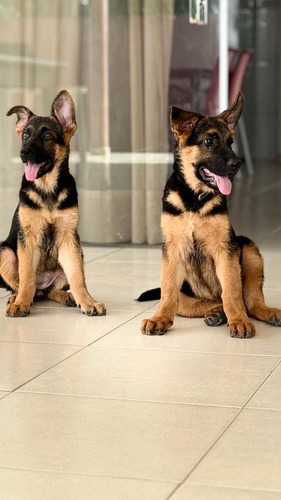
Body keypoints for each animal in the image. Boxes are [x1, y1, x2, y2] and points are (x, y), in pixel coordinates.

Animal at [0, 89, 105, 316]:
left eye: (47, 135)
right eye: (26, 135)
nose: (24, 152)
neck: (48, 189)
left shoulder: (69, 237)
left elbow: (78, 277)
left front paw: (87, 301)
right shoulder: (27, 237)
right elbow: (26, 275)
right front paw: (21, 303)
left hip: (79, 253)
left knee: (50, 291)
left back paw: (67, 297)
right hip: (5, 253)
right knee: (24, 284)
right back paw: (16, 298)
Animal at [140, 92, 280, 338]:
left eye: (230, 143)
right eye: (209, 141)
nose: (237, 164)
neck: (194, 198)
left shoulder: (225, 248)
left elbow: (232, 291)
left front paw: (239, 321)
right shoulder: (172, 249)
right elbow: (167, 291)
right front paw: (159, 319)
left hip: (248, 247)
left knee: (249, 302)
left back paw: (263, 312)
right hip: (186, 295)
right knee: (199, 302)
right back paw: (216, 313)